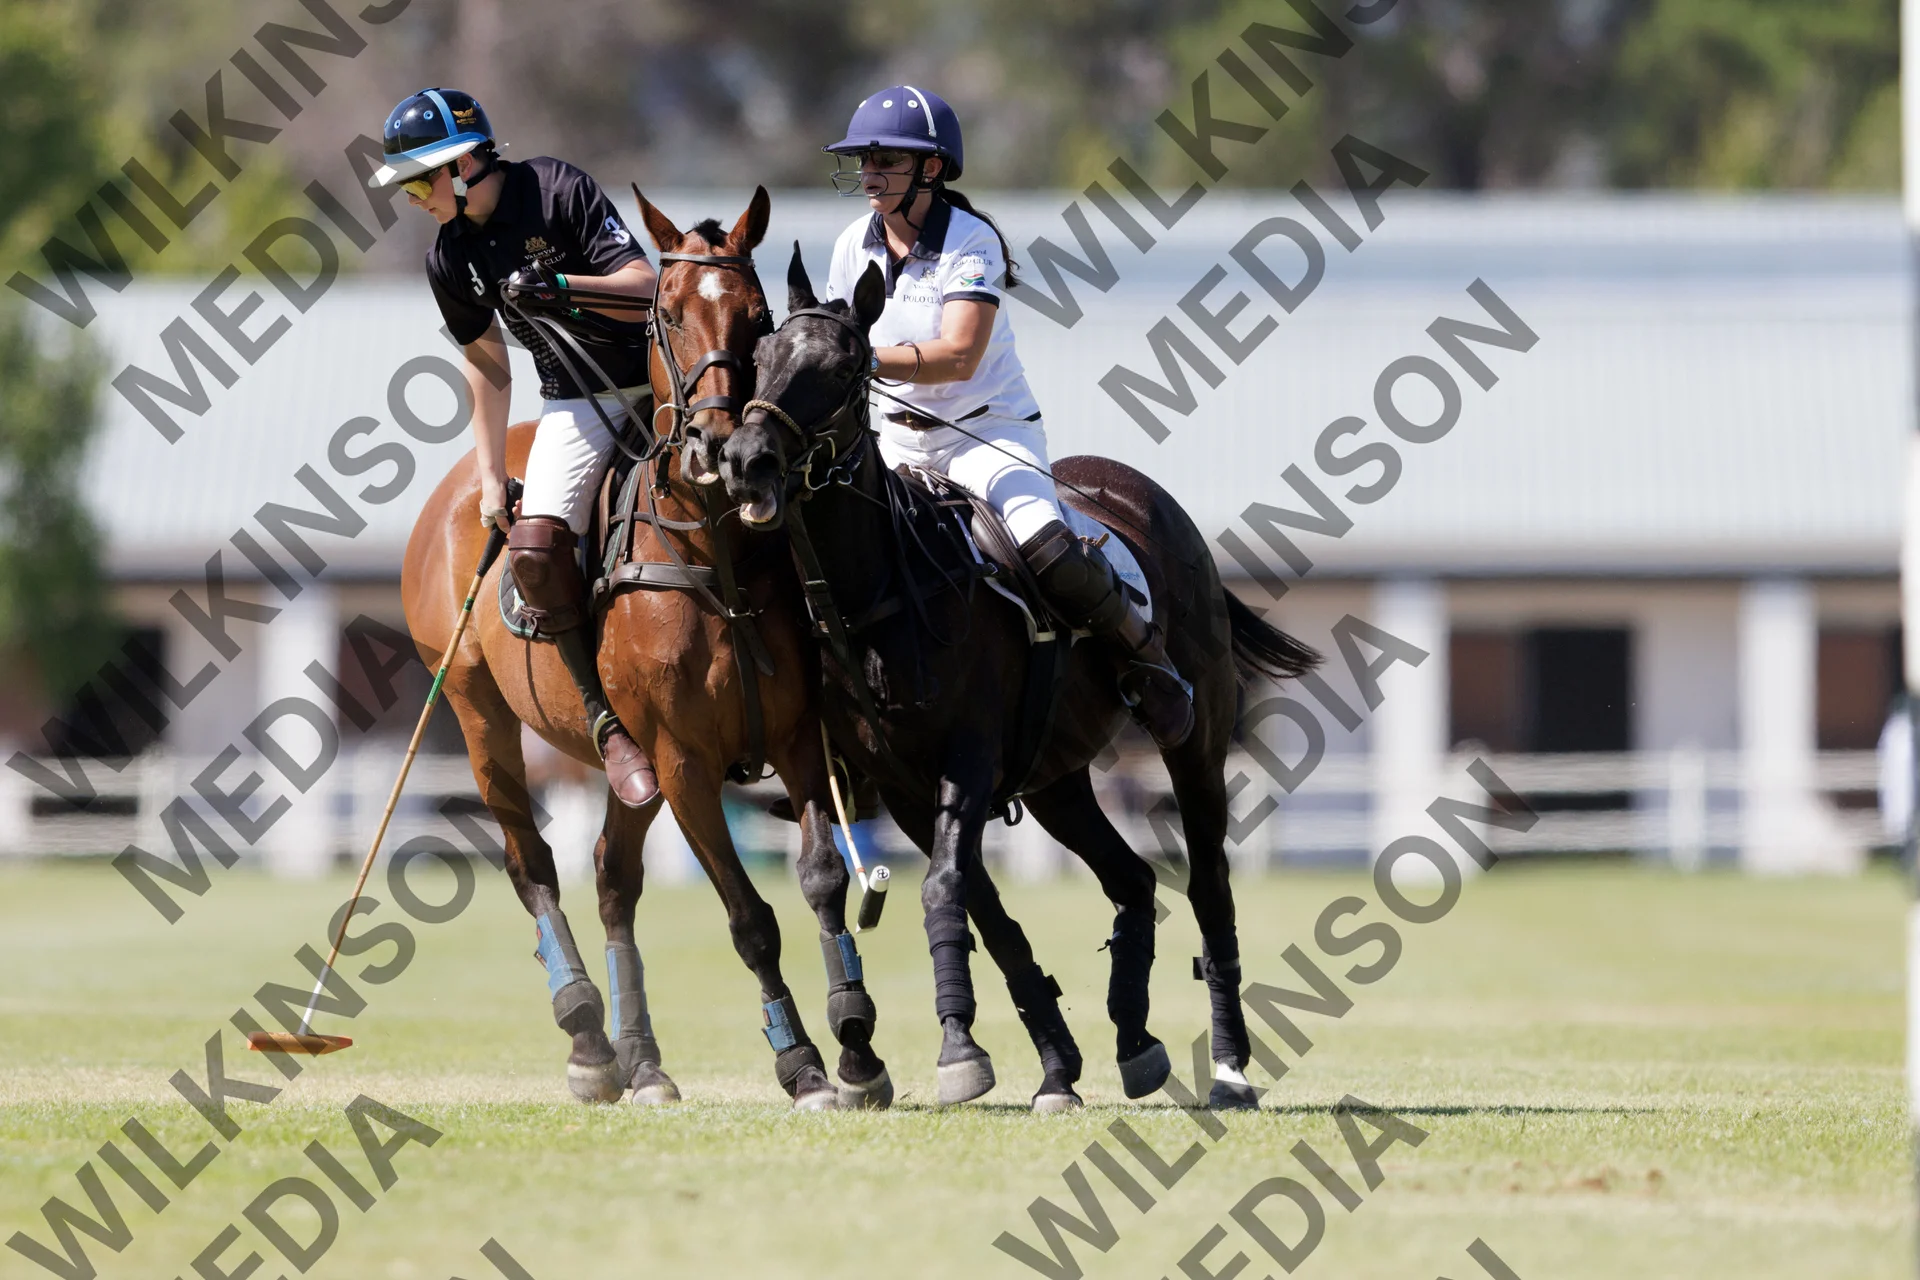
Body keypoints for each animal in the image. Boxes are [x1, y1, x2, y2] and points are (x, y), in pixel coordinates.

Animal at [401, 190, 893, 1111]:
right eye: (666, 314)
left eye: (759, 320)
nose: (723, 450)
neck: (714, 552)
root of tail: (460, 487)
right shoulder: (684, 760)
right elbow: (750, 919)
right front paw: (801, 1063)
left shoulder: (796, 739)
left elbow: (821, 878)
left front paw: (857, 1047)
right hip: (480, 714)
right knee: (533, 863)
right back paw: (588, 1037)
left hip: (635, 769)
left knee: (611, 874)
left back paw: (643, 1060)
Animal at [712, 249, 1320, 1109]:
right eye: (761, 356)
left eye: (846, 365)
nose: (745, 462)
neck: (881, 593)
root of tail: (1141, 490)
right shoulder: (902, 785)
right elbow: (985, 912)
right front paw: (1054, 1066)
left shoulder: (966, 759)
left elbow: (944, 890)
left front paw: (960, 1050)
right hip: (1056, 775)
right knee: (1133, 878)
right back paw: (1134, 1039)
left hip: (1195, 741)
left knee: (1208, 889)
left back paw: (1230, 1068)